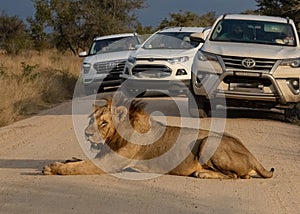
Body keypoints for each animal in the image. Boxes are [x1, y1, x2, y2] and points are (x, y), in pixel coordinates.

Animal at [42, 97, 274, 179]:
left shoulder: (110, 164)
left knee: (236, 176)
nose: (87, 134)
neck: (114, 137)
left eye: (104, 123)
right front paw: (59, 162)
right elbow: (77, 160)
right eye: (91, 120)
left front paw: (55, 168)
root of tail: (253, 156)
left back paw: (203, 174)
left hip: (208, 142)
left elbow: (78, 167)